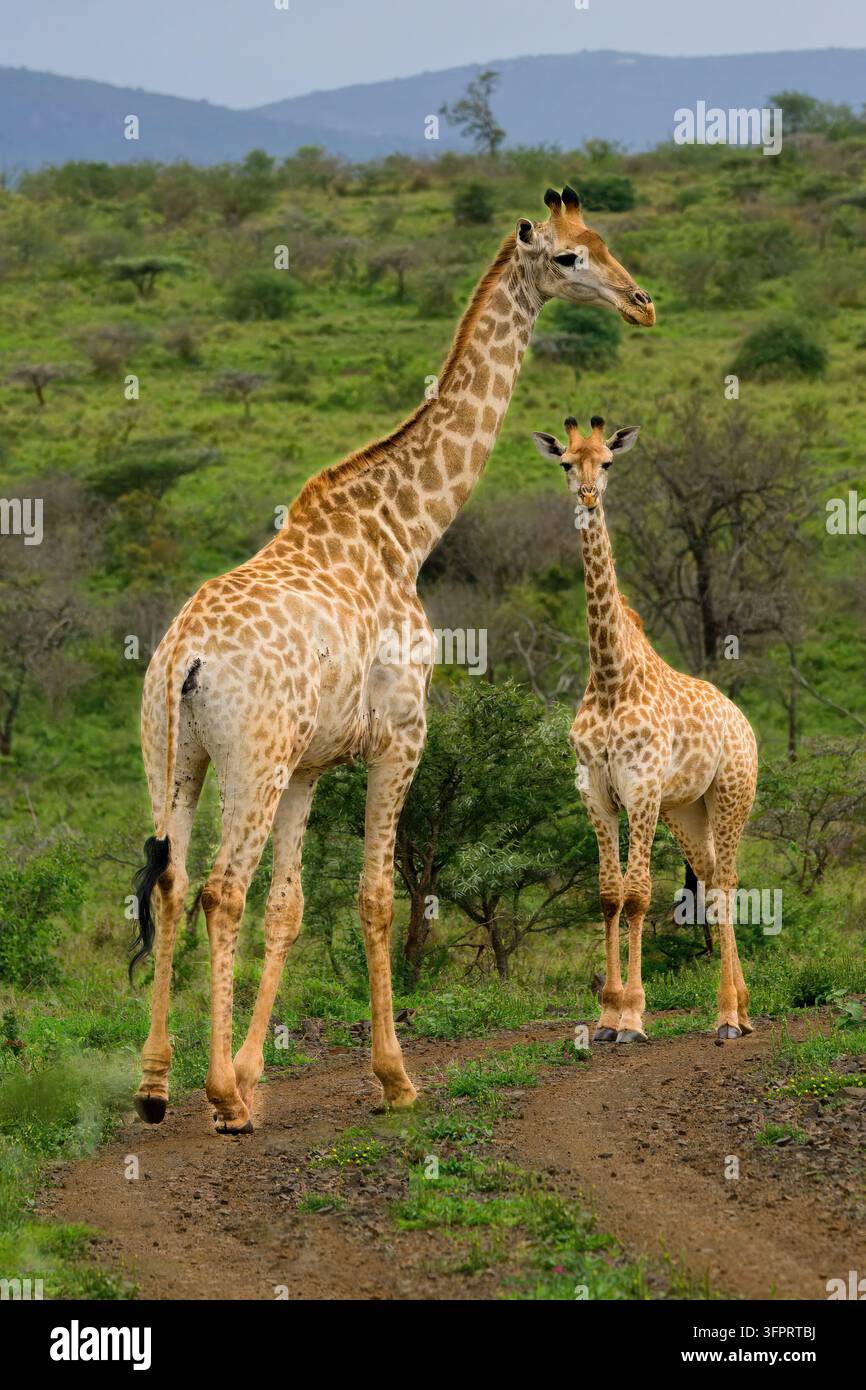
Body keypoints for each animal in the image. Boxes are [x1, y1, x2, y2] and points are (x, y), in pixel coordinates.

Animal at [131, 187, 655, 1134]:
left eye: (603, 239)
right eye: (569, 259)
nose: (642, 303)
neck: (404, 532)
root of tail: (185, 655)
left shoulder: (311, 764)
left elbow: (291, 907)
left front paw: (258, 1070)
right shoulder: (399, 736)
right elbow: (374, 898)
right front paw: (392, 1077)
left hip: (174, 756)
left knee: (174, 884)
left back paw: (157, 1087)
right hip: (250, 757)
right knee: (221, 888)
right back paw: (217, 1096)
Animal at [531, 414, 758, 1044]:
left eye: (607, 462)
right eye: (567, 463)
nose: (587, 496)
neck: (611, 677)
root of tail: (743, 720)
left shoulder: (641, 789)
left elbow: (636, 897)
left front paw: (633, 1016)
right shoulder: (596, 791)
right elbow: (609, 896)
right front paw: (606, 1014)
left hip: (730, 796)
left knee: (729, 883)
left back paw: (728, 1017)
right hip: (687, 811)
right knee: (711, 881)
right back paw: (740, 1008)